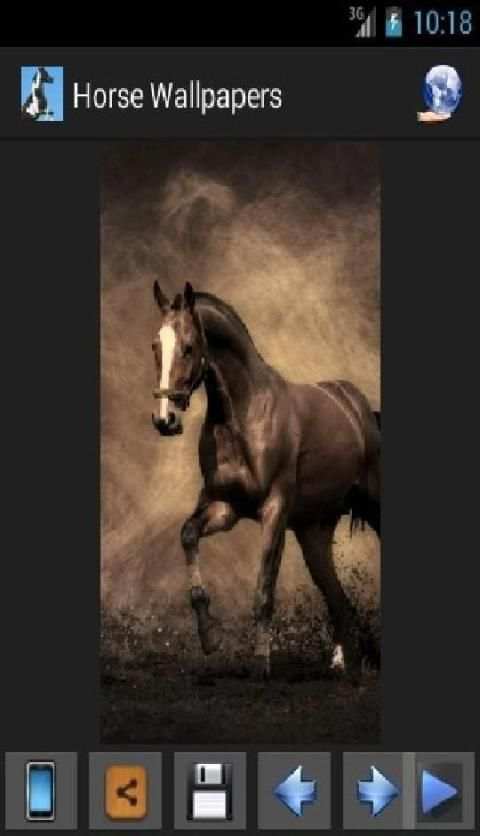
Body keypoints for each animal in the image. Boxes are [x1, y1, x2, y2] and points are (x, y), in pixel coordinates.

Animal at [151, 281, 381, 681]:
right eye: (156, 347)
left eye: (189, 346)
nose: (166, 420)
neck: (243, 416)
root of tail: (360, 408)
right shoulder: (224, 507)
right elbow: (188, 534)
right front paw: (210, 637)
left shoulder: (274, 509)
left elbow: (264, 588)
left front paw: (261, 663)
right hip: (314, 533)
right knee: (337, 598)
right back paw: (347, 664)